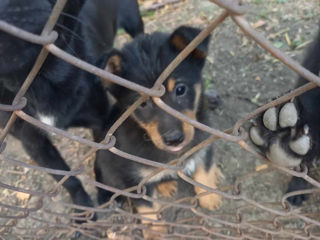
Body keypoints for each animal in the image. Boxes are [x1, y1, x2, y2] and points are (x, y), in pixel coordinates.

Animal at [0, 0, 142, 218]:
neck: (39, 81)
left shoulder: (101, 125)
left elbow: (99, 162)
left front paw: (106, 194)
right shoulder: (33, 142)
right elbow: (68, 180)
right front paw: (82, 210)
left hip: (134, 22)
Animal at [95, 26, 222, 238]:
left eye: (180, 89)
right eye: (142, 104)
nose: (174, 139)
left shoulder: (203, 140)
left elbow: (204, 170)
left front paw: (210, 197)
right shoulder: (133, 179)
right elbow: (147, 209)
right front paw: (154, 232)